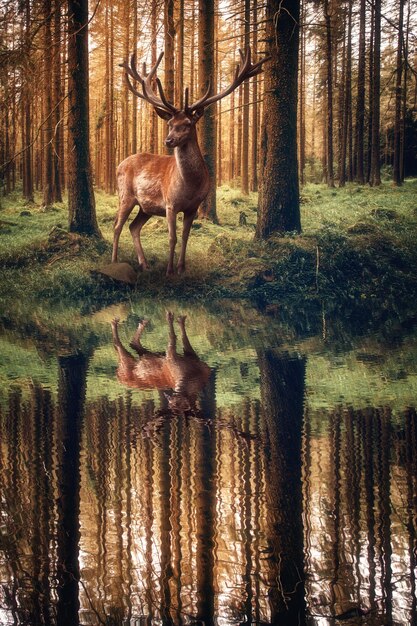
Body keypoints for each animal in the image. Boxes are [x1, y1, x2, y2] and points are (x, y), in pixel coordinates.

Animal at [112, 46, 268, 276]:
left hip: (145, 207)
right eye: (169, 123)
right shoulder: (170, 204)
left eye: (187, 123)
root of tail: (120, 164)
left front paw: (181, 267)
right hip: (126, 195)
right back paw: (114, 261)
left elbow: (186, 237)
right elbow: (172, 237)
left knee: (133, 227)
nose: (168, 140)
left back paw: (144, 263)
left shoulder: (193, 207)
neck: (190, 185)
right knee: (117, 226)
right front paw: (169, 271)